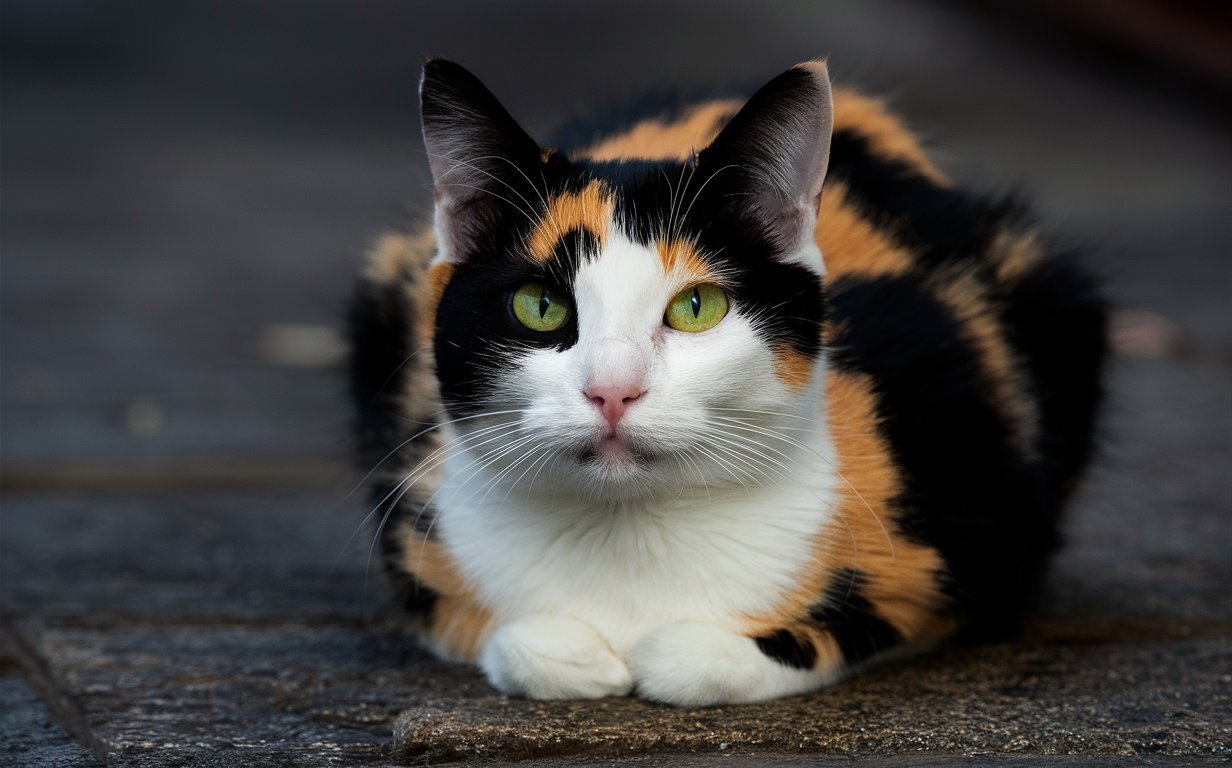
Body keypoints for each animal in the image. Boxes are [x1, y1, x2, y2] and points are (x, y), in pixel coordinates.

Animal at [349, 61, 1108, 710]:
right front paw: (573, 653)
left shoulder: (986, 503)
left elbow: (823, 639)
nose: (613, 391)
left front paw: (679, 655)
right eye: (539, 305)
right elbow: (499, 638)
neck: (630, 535)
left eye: (697, 307)